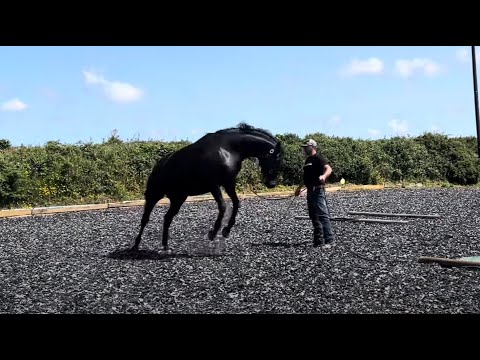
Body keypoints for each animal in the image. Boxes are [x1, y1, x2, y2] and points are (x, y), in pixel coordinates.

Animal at [129, 122, 284, 252]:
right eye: (276, 159)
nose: (271, 184)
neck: (228, 149)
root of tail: (159, 165)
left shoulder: (228, 183)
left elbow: (236, 203)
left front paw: (226, 230)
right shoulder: (214, 185)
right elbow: (223, 207)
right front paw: (213, 233)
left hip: (178, 198)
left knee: (167, 218)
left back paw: (165, 245)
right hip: (154, 195)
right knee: (145, 219)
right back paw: (135, 245)